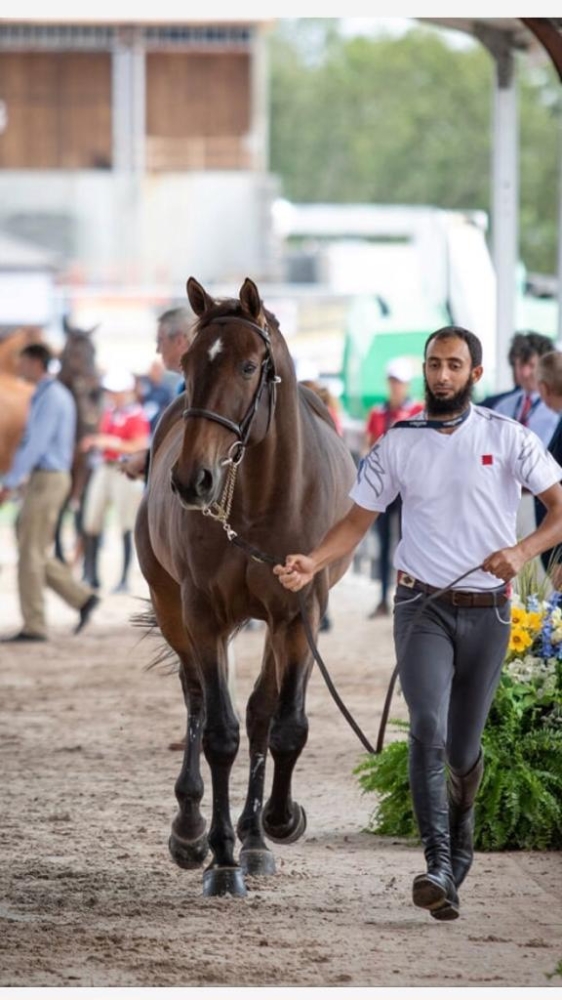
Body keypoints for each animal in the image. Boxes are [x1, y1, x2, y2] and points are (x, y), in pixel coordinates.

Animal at [135, 276, 354, 900]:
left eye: (250, 366)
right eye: (186, 363)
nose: (193, 480)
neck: (259, 502)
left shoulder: (299, 613)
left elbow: (284, 726)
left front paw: (277, 822)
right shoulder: (203, 613)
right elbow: (218, 732)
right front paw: (221, 856)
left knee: (259, 711)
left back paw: (256, 836)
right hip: (172, 607)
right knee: (195, 698)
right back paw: (192, 831)